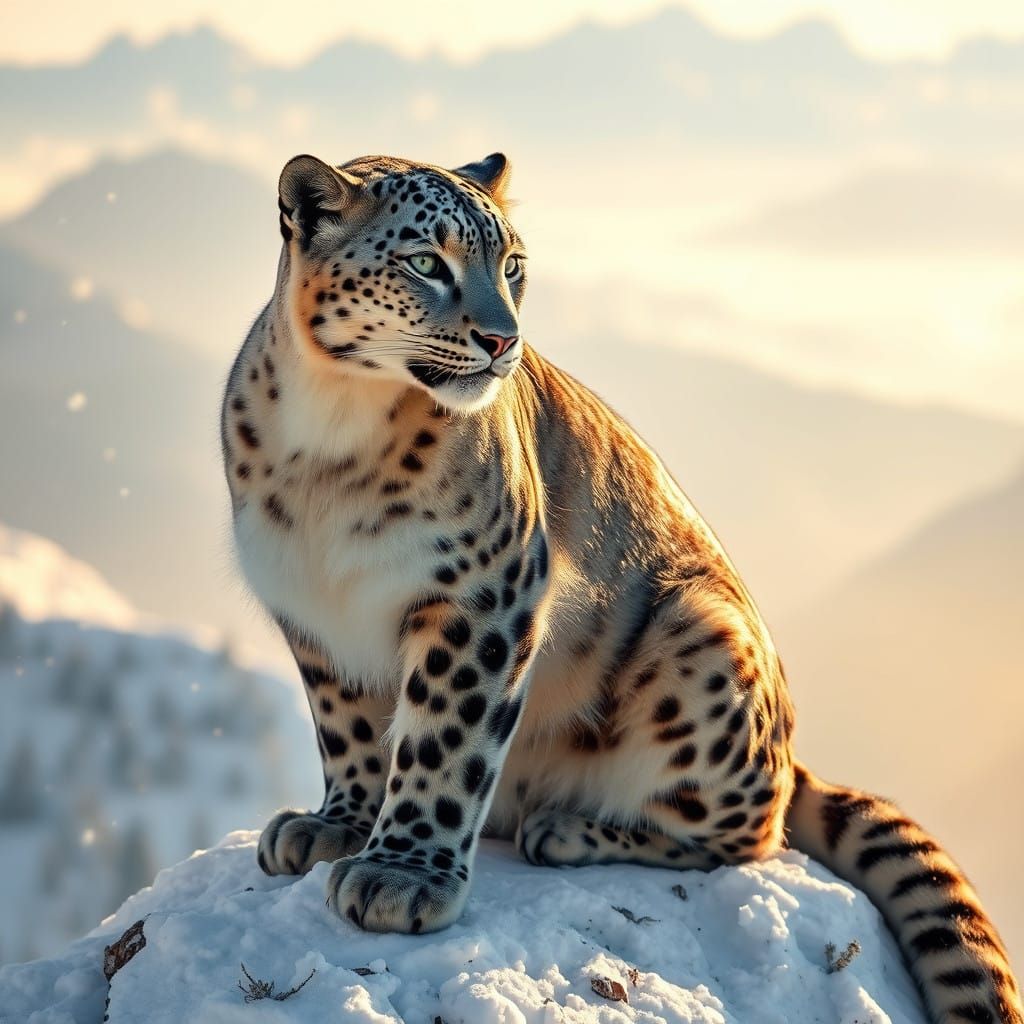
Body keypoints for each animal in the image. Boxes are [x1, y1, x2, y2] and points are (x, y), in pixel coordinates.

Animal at [221, 150, 1021, 1024]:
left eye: (513, 266)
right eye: (427, 262)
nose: (502, 339)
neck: (330, 440)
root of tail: (790, 749)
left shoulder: (481, 592)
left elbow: (445, 737)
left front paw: (403, 875)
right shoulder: (312, 613)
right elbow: (348, 728)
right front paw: (336, 825)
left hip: (701, 642)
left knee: (749, 832)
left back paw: (567, 828)